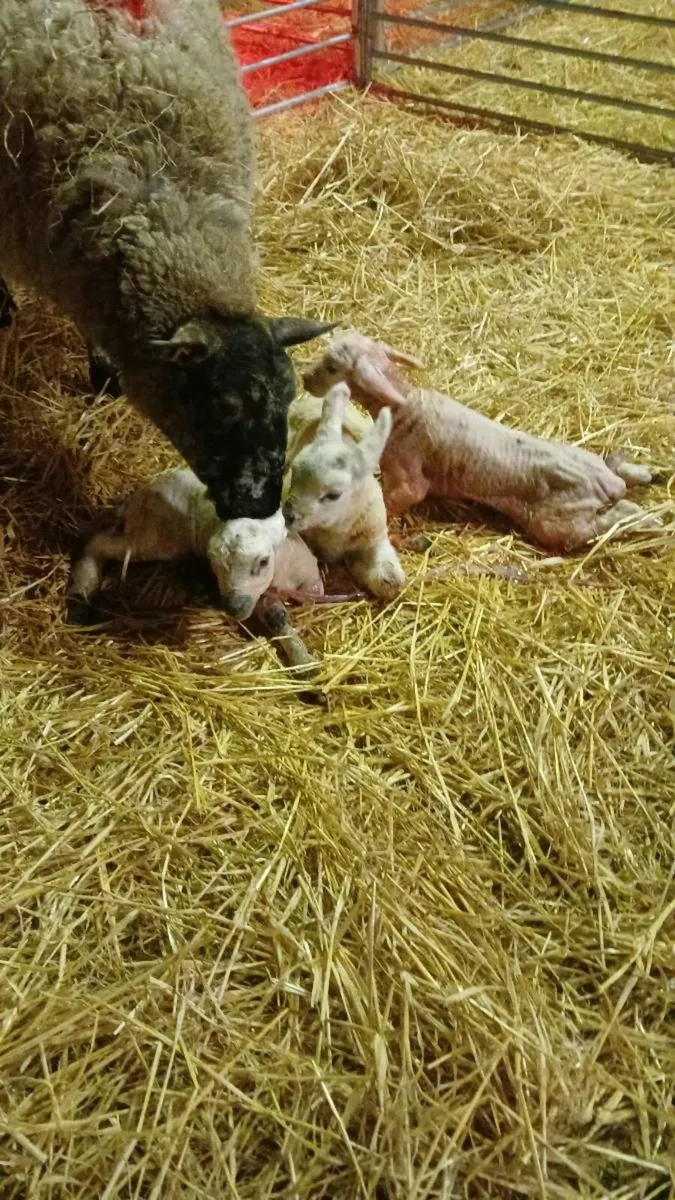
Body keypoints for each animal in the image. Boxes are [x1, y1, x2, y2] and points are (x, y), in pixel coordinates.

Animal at [67, 467, 324, 675]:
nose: (232, 607)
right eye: (214, 562)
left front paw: (305, 664)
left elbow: (298, 604)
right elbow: (277, 617)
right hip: (156, 536)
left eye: (263, 562)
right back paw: (81, 598)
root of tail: (137, 497)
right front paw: (305, 666)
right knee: (97, 544)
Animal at [282, 384, 406, 600]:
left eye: (333, 495)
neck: (334, 529)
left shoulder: (374, 538)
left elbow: (390, 581)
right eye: (295, 472)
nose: (289, 515)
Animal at [302, 331, 661, 554]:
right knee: (621, 475)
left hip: (557, 523)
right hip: (585, 467)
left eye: (332, 367)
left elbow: (395, 501)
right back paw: (645, 471)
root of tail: (605, 483)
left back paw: (653, 520)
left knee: (620, 515)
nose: (305, 379)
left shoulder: (409, 479)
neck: (406, 406)